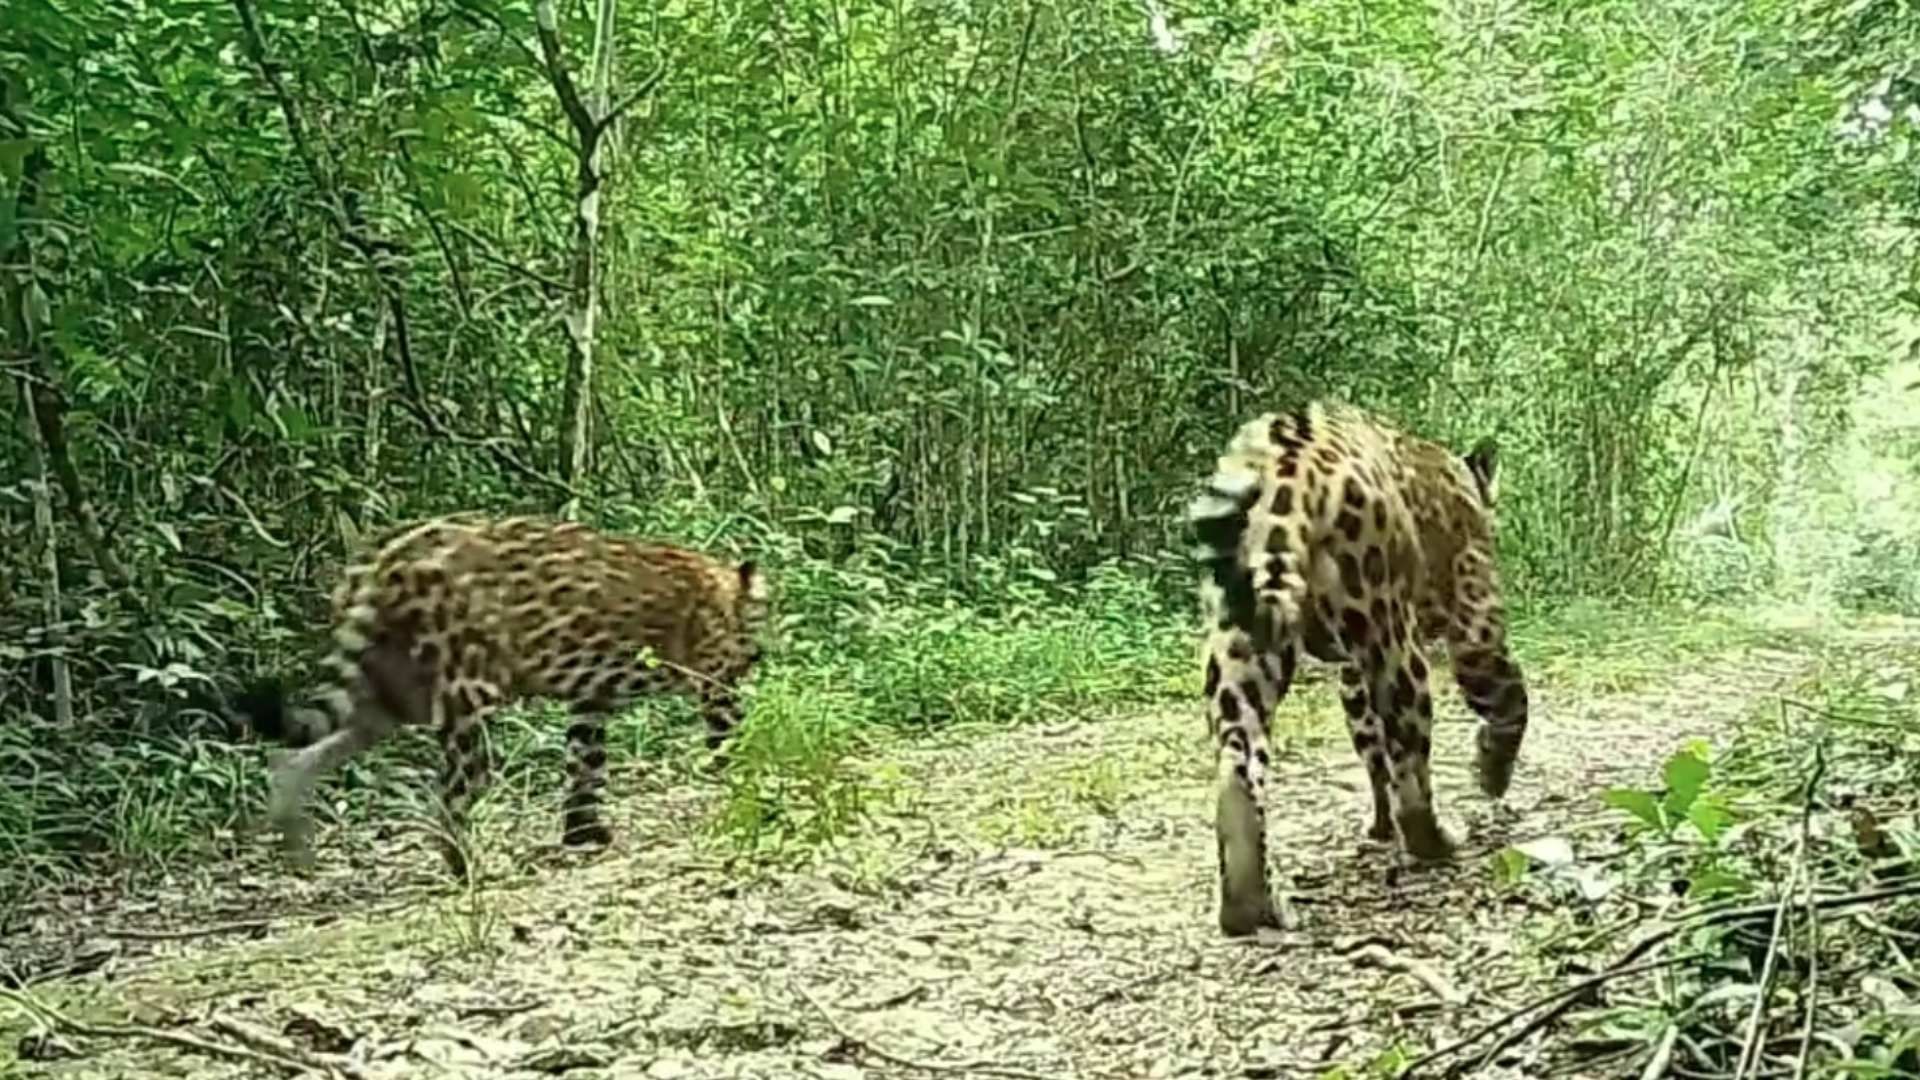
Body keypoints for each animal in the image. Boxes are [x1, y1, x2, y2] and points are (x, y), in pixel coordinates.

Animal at [231, 513, 771, 878]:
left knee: (299, 756)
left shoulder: (591, 697)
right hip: (465, 693)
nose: (760, 655)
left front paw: (581, 830)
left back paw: (296, 845)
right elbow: (731, 742)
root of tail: (388, 555)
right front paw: (749, 790)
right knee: (450, 796)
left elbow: (586, 760)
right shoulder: (715, 683)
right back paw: (467, 868)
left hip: (389, 694)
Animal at [1186, 401, 1530, 937]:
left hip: (1243, 639)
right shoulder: (1477, 622)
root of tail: (1287, 460)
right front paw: (1492, 773)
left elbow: (1372, 752)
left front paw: (1379, 826)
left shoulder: (1350, 673)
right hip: (1391, 633)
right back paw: (1438, 841)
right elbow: (1512, 701)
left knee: (1239, 760)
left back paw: (1248, 902)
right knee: (1412, 765)